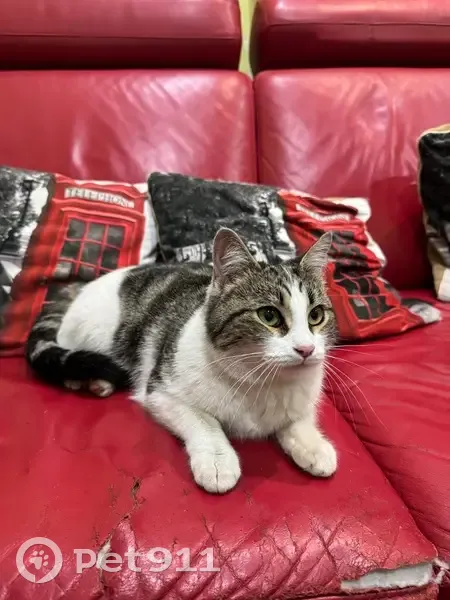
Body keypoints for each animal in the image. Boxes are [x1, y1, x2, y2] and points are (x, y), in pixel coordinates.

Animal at [26, 227, 338, 493]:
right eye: (269, 316)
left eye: (316, 315)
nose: (306, 349)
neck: (263, 382)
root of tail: (80, 287)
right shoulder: (160, 392)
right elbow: (204, 420)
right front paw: (217, 459)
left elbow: (297, 419)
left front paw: (313, 445)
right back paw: (89, 381)